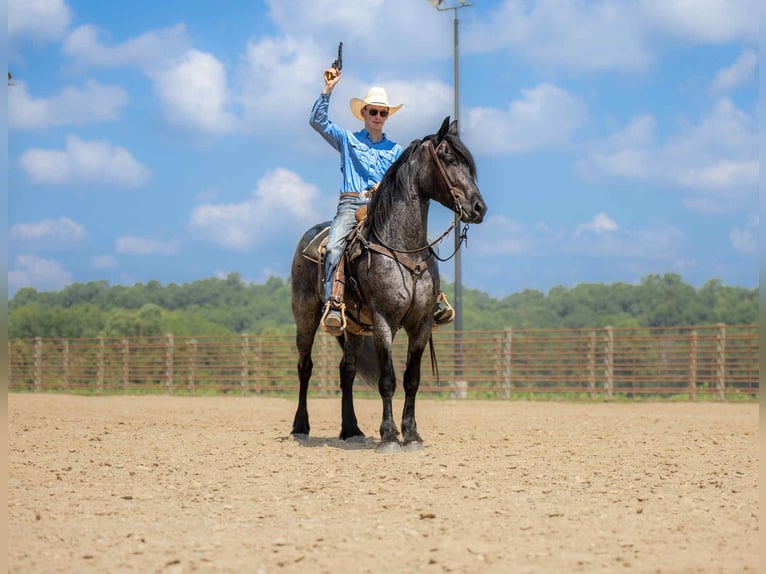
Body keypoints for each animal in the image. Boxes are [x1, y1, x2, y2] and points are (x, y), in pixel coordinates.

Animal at [290, 117, 487, 452]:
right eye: (448, 159)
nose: (478, 208)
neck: (403, 249)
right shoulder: (384, 321)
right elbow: (388, 380)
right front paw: (389, 437)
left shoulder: (421, 325)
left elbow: (411, 379)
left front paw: (412, 434)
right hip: (306, 316)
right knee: (306, 366)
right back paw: (300, 427)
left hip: (355, 329)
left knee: (347, 371)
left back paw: (352, 430)